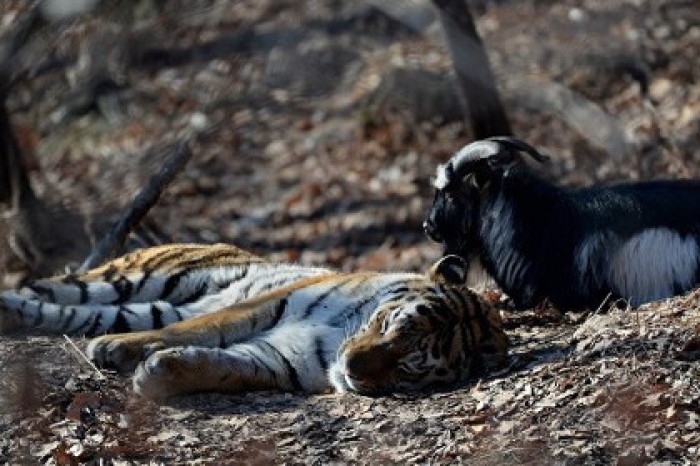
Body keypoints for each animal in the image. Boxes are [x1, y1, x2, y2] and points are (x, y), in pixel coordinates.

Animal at [0, 242, 506, 398]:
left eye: (407, 366)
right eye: (388, 327)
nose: (350, 370)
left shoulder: (283, 358)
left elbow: (227, 366)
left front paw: (160, 373)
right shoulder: (266, 304)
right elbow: (196, 330)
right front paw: (127, 352)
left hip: (134, 302)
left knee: (73, 313)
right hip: (134, 279)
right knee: (50, 290)